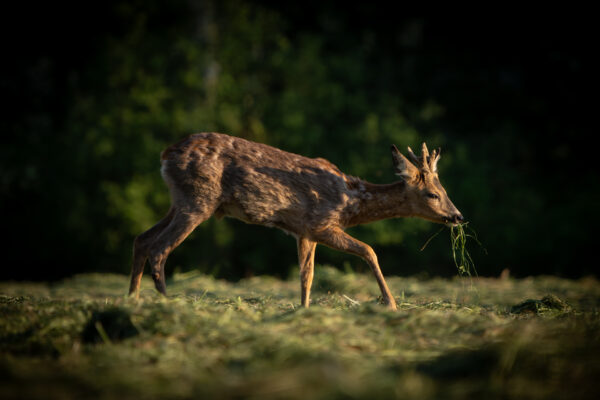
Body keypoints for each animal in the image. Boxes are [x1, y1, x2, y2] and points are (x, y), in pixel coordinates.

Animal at [129, 132, 462, 310]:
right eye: (433, 194)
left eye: (445, 191)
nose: (457, 216)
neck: (351, 201)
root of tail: (166, 154)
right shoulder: (321, 223)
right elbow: (369, 251)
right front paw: (390, 303)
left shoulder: (304, 232)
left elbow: (307, 275)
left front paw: (303, 309)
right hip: (198, 200)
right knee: (160, 248)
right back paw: (167, 303)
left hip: (180, 200)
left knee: (142, 239)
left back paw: (132, 299)